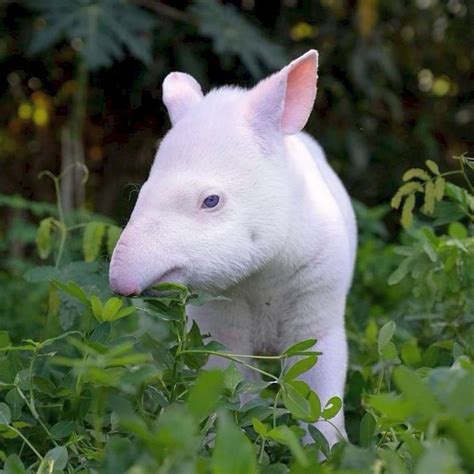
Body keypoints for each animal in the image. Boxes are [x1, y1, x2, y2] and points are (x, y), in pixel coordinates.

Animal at [110, 49, 356, 444]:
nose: (120, 281)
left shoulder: (321, 305)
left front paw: (330, 451)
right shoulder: (217, 323)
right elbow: (234, 386)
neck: (263, 276)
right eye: (142, 191)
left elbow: (318, 396)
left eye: (211, 200)